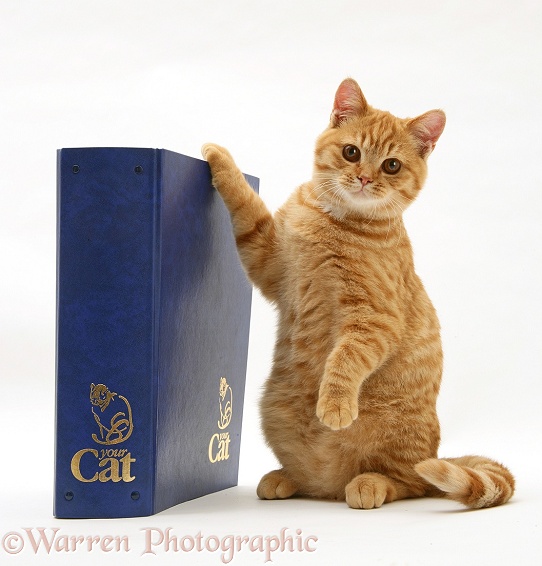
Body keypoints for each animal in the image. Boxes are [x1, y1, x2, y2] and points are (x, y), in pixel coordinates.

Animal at [203, 79, 516, 510]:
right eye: (351, 152)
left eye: (392, 165)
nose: (366, 178)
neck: (334, 219)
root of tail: (330, 484)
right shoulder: (268, 261)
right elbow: (247, 207)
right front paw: (221, 159)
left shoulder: (375, 319)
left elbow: (345, 358)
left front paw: (334, 404)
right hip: (273, 409)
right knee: (319, 480)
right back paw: (288, 477)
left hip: (397, 439)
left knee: (410, 481)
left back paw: (369, 483)